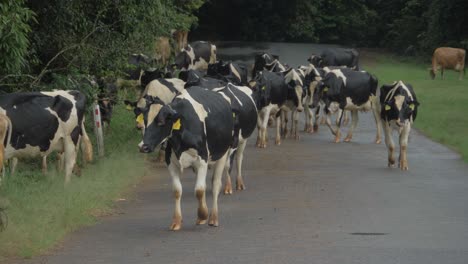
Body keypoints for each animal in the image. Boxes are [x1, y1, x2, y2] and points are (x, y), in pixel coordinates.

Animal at [139, 87, 234, 231]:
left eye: (161, 122)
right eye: (144, 121)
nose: (143, 146)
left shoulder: (202, 160)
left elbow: (199, 190)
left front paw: (202, 215)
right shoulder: (171, 163)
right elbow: (177, 191)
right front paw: (176, 221)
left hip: (223, 154)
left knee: (216, 185)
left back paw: (213, 218)